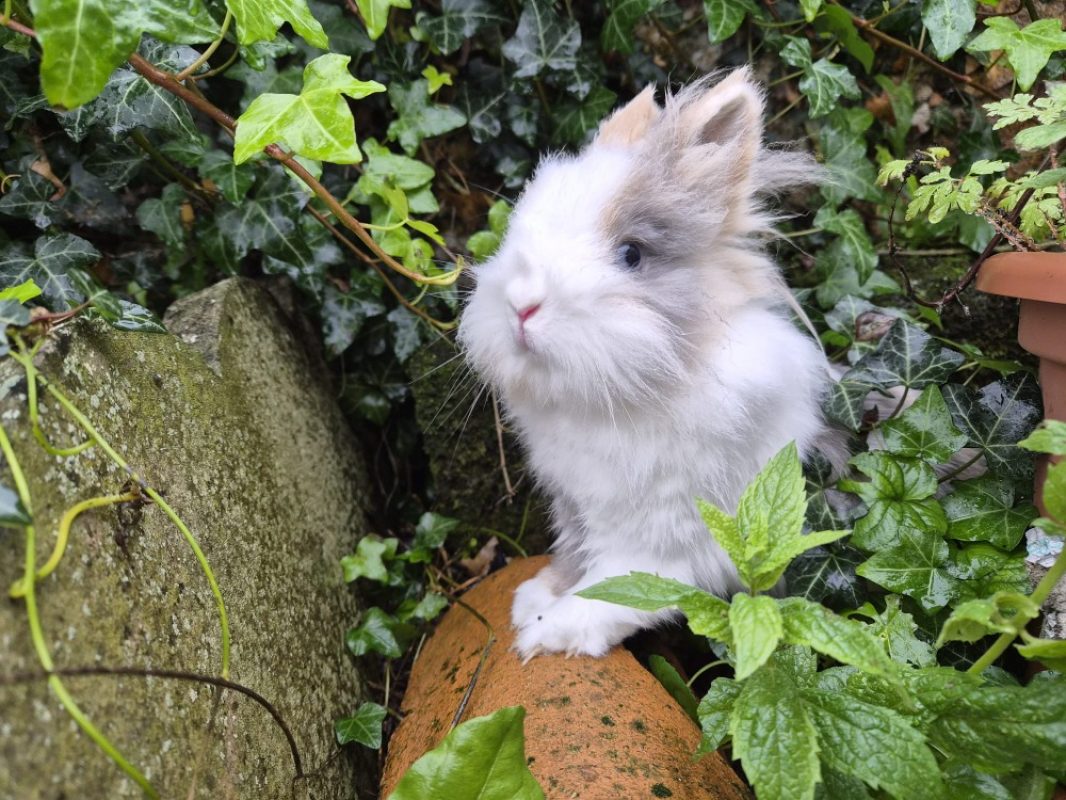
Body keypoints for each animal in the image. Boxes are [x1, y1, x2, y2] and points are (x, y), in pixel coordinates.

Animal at [457, 69, 835, 659]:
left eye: (632, 255)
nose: (521, 305)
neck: (613, 402)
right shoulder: (574, 506)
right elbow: (575, 556)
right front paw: (536, 597)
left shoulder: (666, 535)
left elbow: (620, 590)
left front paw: (549, 633)